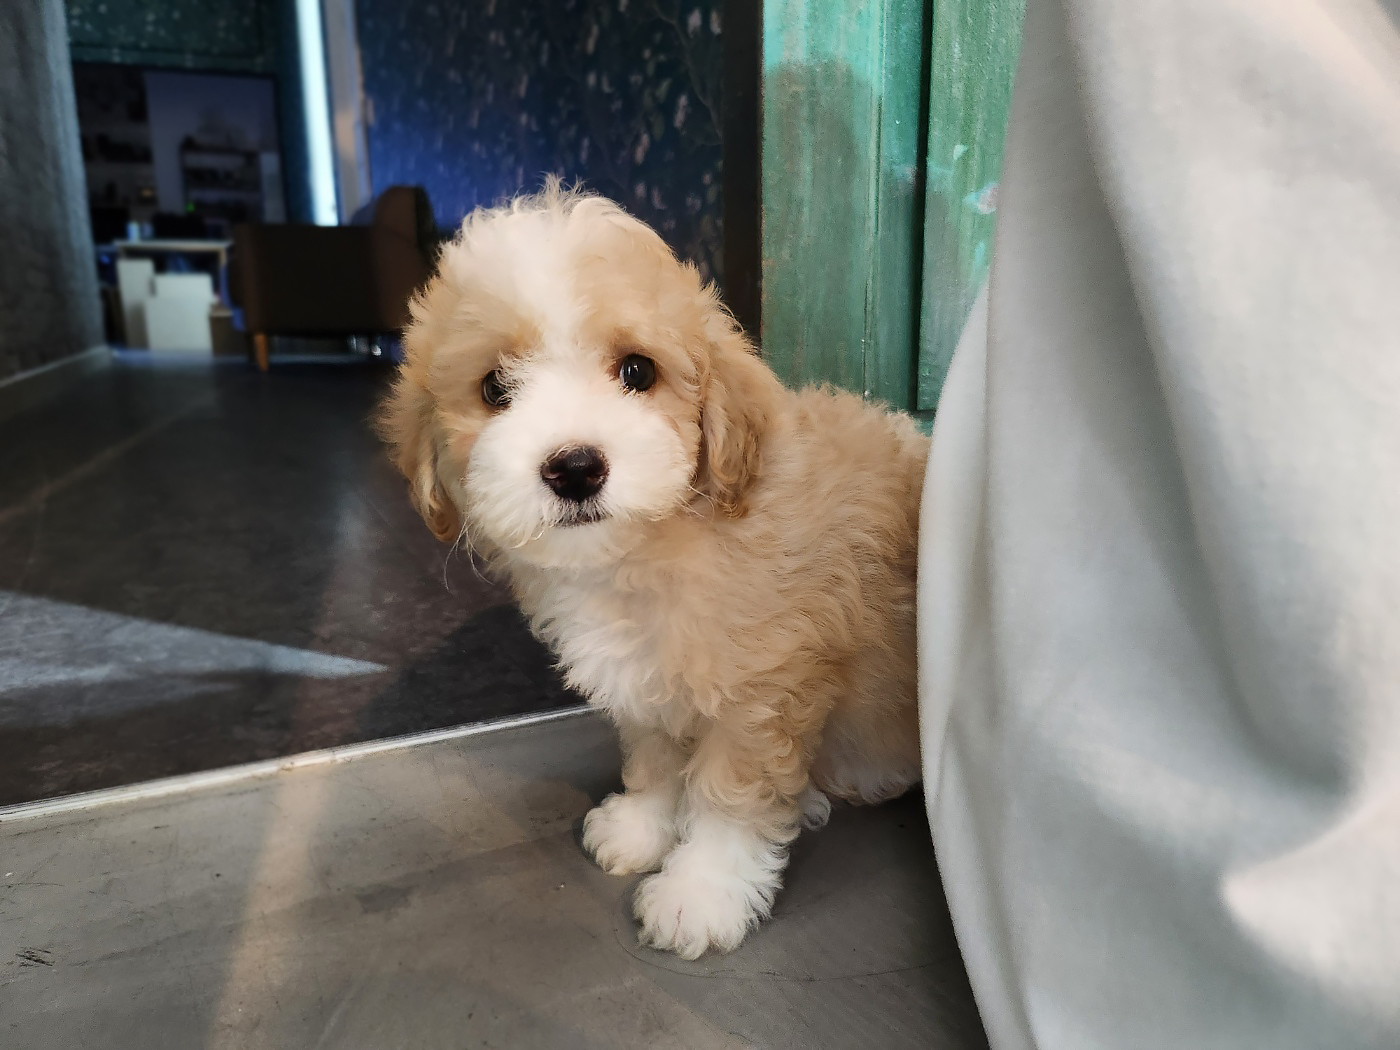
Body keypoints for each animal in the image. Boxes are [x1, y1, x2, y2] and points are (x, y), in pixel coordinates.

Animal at [378, 182, 928, 960]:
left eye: (637, 371)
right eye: (495, 389)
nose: (575, 467)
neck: (655, 545)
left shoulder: (763, 692)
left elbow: (732, 795)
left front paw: (702, 892)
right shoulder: (645, 683)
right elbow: (659, 760)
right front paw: (643, 828)